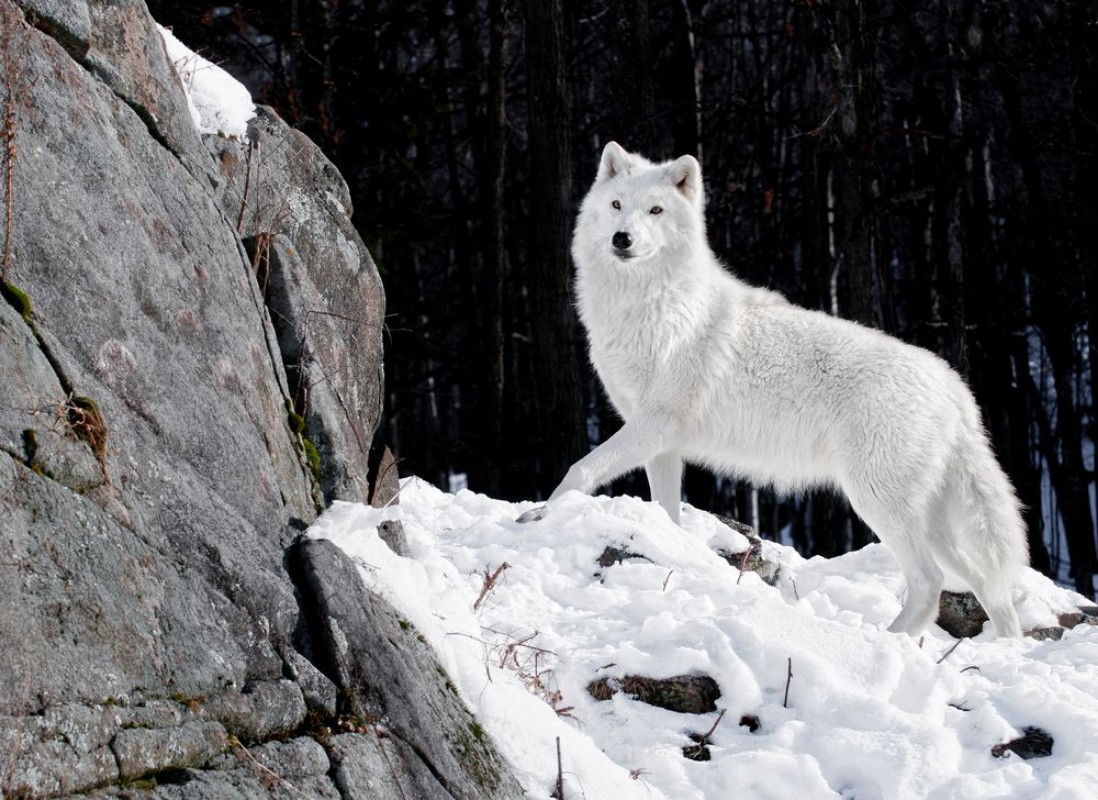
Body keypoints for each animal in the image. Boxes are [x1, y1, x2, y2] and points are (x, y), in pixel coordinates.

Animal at [549, 141, 1028, 637]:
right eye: (617, 205)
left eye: (656, 210)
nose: (621, 238)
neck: (649, 306)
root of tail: (953, 384)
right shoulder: (661, 444)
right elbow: (667, 513)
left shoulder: (654, 424)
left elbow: (579, 471)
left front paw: (541, 516)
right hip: (930, 522)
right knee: (990, 587)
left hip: (877, 502)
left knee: (930, 583)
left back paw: (886, 641)